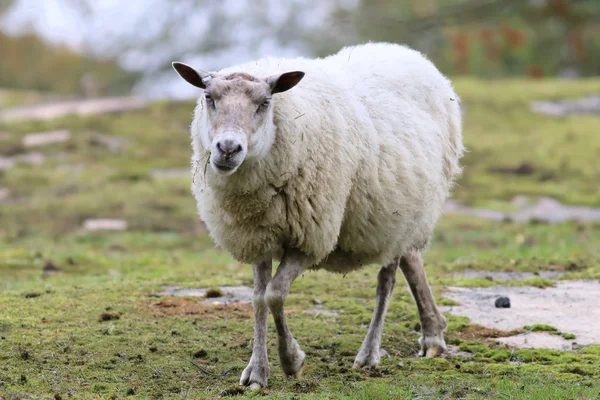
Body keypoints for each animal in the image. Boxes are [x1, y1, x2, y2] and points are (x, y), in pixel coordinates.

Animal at [173, 42, 464, 390]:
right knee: (411, 262)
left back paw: (371, 353)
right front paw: (257, 371)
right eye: (208, 96)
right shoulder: (258, 235)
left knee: (388, 280)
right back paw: (433, 333)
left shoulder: (310, 238)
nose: (228, 149)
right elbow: (258, 299)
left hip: (401, 217)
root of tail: (408, 52)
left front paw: (291, 360)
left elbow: (275, 294)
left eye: (265, 102)